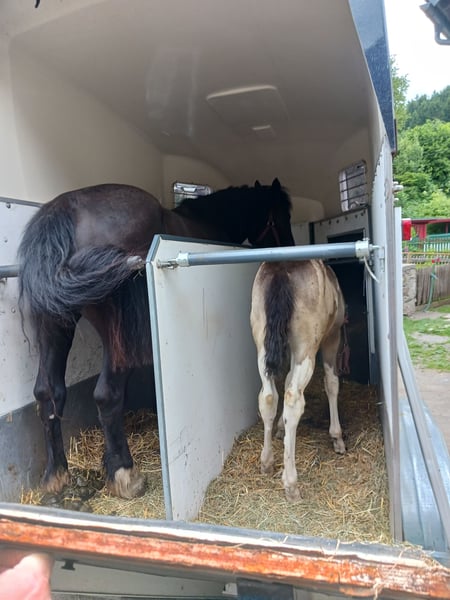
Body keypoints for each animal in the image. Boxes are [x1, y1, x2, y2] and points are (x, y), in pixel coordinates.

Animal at [18, 178, 295, 499]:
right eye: (281, 215)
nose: (289, 250)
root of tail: (65, 210)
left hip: (54, 325)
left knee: (48, 393)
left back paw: (56, 475)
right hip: (115, 336)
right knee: (106, 395)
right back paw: (125, 474)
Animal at [250, 259, 346, 503]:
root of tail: (281, 266)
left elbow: (285, 383)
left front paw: (280, 430)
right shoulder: (333, 337)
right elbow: (332, 382)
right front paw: (337, 438)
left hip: (263, 346)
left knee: (268, 397)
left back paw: (267, 462)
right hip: (306, 347)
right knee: (294, 399)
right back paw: (291, 485)